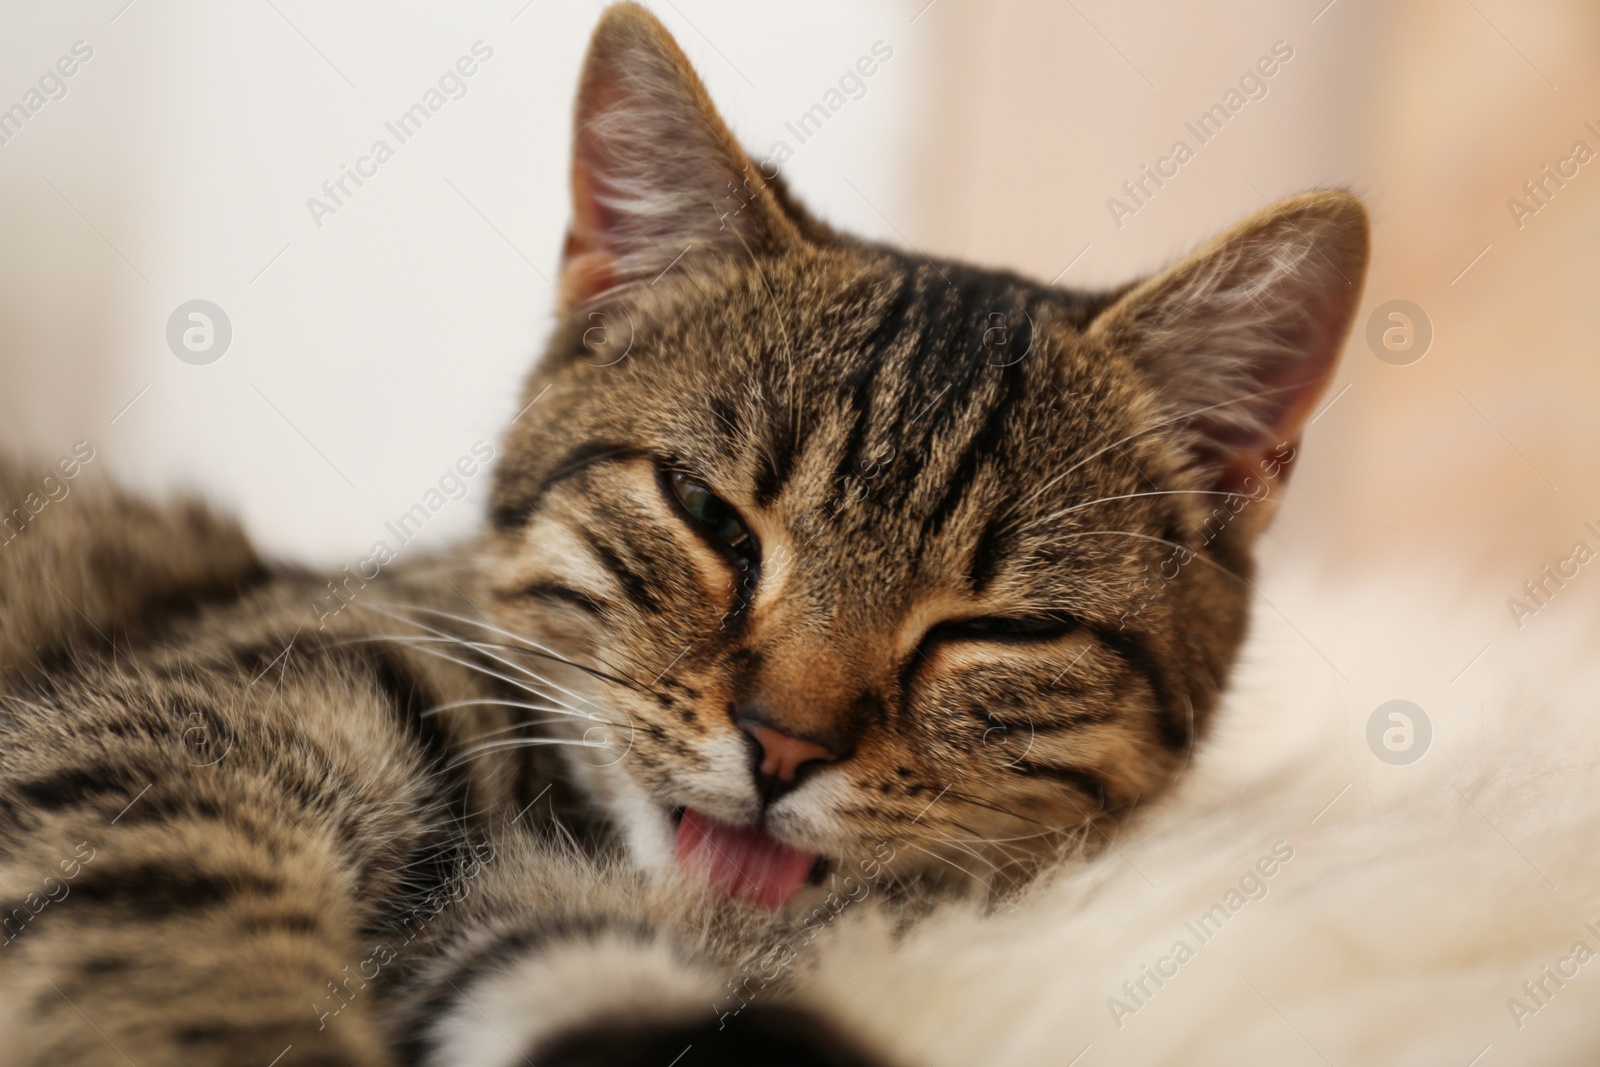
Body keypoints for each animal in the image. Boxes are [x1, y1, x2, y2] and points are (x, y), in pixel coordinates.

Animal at [0, 4, 1363, 1062]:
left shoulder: (545, 930)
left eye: (1006, 626)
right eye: (710, 514)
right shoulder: (146, 754)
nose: (782, 743)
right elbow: (177, 962)